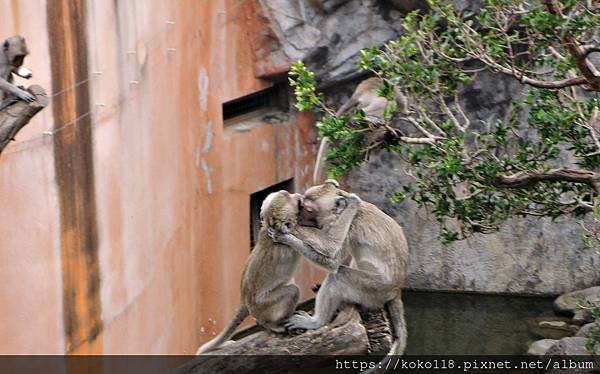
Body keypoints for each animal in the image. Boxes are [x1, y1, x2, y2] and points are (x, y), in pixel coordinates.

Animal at [196, 190, 360, 354]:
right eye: (294, 201)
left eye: (288, 194)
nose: (298, 195)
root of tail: (245, 299)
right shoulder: (297, 229)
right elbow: (330, 252)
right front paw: (351, 204)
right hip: (262, 304)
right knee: (292, 291)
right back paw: (273, 325)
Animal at [270, 180, 408, 370]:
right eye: (302, 205)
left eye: (308, 210)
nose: (300, 217)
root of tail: (395, 290)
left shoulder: (347, 228)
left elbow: (332, 259)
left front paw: (286, 235)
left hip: (374, 290)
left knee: (340, 276)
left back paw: (317, 322)